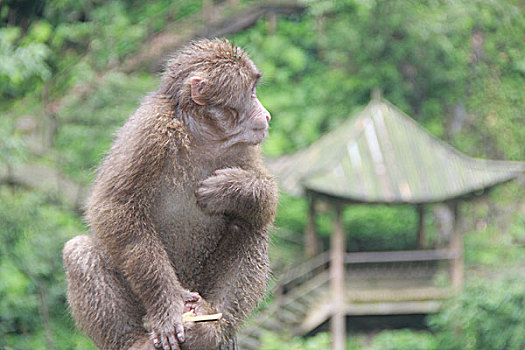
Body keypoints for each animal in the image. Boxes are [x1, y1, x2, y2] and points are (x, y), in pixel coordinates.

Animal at [62, 38, 278, 350]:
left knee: (249, 224)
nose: (266, 114)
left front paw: (232, 189)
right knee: (79, 251)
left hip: (201, 286)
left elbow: (267, 202)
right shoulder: (149, 131)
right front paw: (168, 304)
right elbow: (114, 207)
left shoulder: (243, 147)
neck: (201, 135)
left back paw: (211, 329)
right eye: (250, 93)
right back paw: (133, 341)